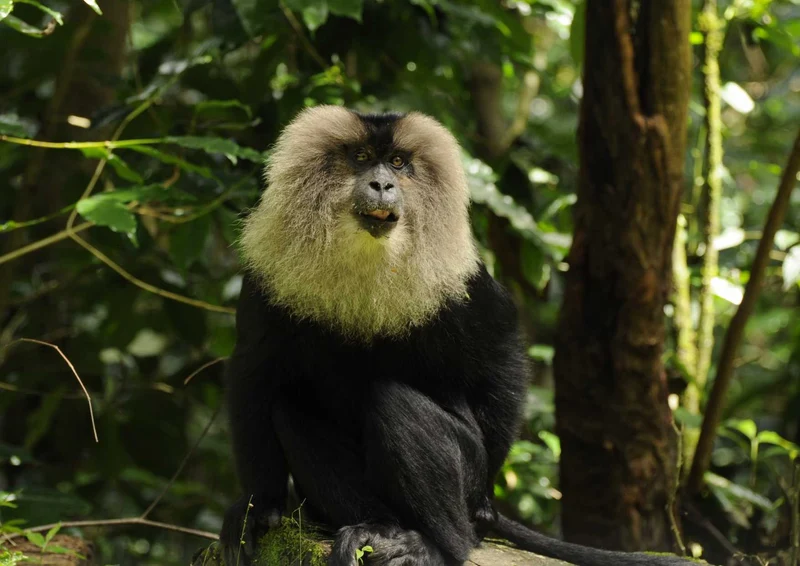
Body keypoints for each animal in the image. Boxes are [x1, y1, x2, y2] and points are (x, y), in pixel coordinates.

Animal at [219, 105, 701, 566]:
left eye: (398, 162)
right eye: (360, 158)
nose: (381, 184)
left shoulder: (464, 283)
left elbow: (502, 354)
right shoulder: (266, 277)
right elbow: (253, 371)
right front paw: (258, 508)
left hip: (466, 471)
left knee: (395, 403)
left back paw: (439, 545)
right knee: (291, 408)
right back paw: (377, 528)